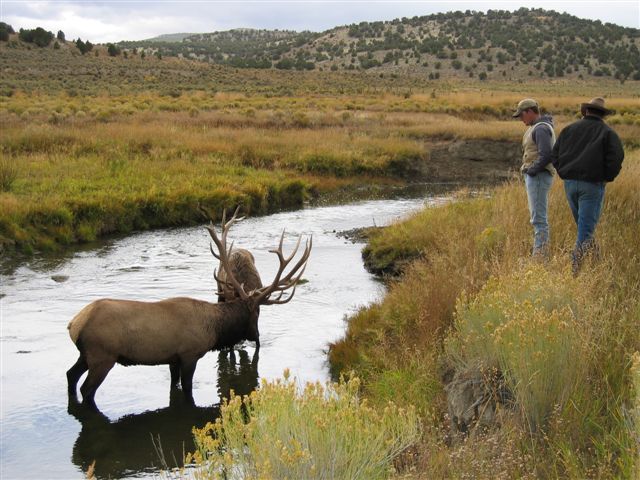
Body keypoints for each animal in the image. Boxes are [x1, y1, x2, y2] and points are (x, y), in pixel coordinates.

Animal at [66, 208, 312, 406]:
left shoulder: (172, 359)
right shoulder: (189, 354)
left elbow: (173, 387)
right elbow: (188, 391)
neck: (214, 329)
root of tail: (74, 325)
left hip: (86, 355)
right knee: (86, 389)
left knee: (70, 375)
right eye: (256, 313)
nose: (257, 337)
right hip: (102, 356)